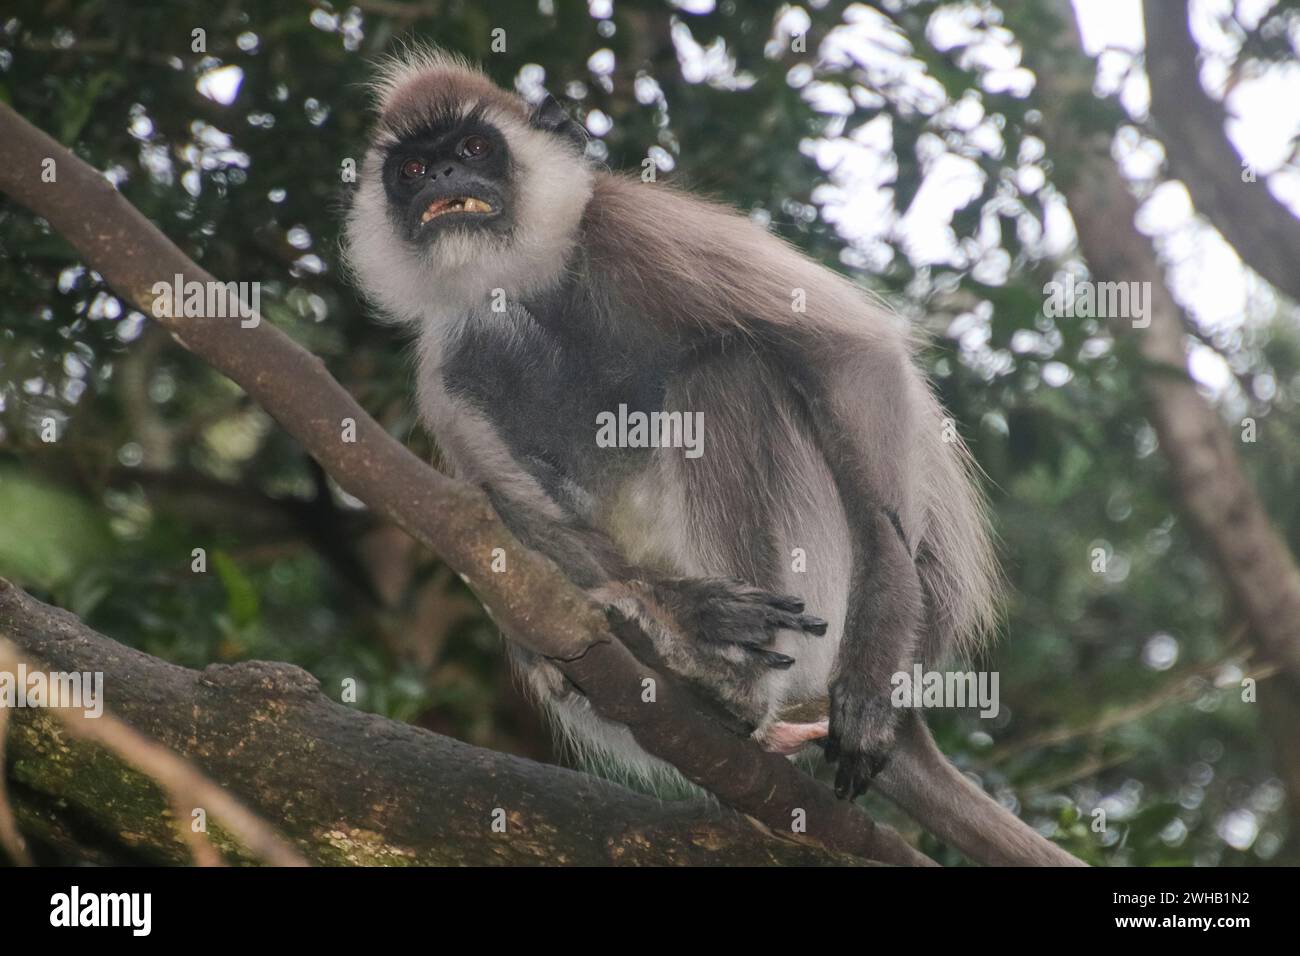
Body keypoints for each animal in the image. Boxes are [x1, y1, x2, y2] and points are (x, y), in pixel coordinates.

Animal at [343, 48, 1076, 868]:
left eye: (473, 149)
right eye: (410, 169)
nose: (441, 177)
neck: (534, 286)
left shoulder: (632, 227)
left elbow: (851, 352)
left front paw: (869, 664)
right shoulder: (442, 361)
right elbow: (492, 514)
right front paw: (690, 609)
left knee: (732, 369)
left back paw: (738, 687)